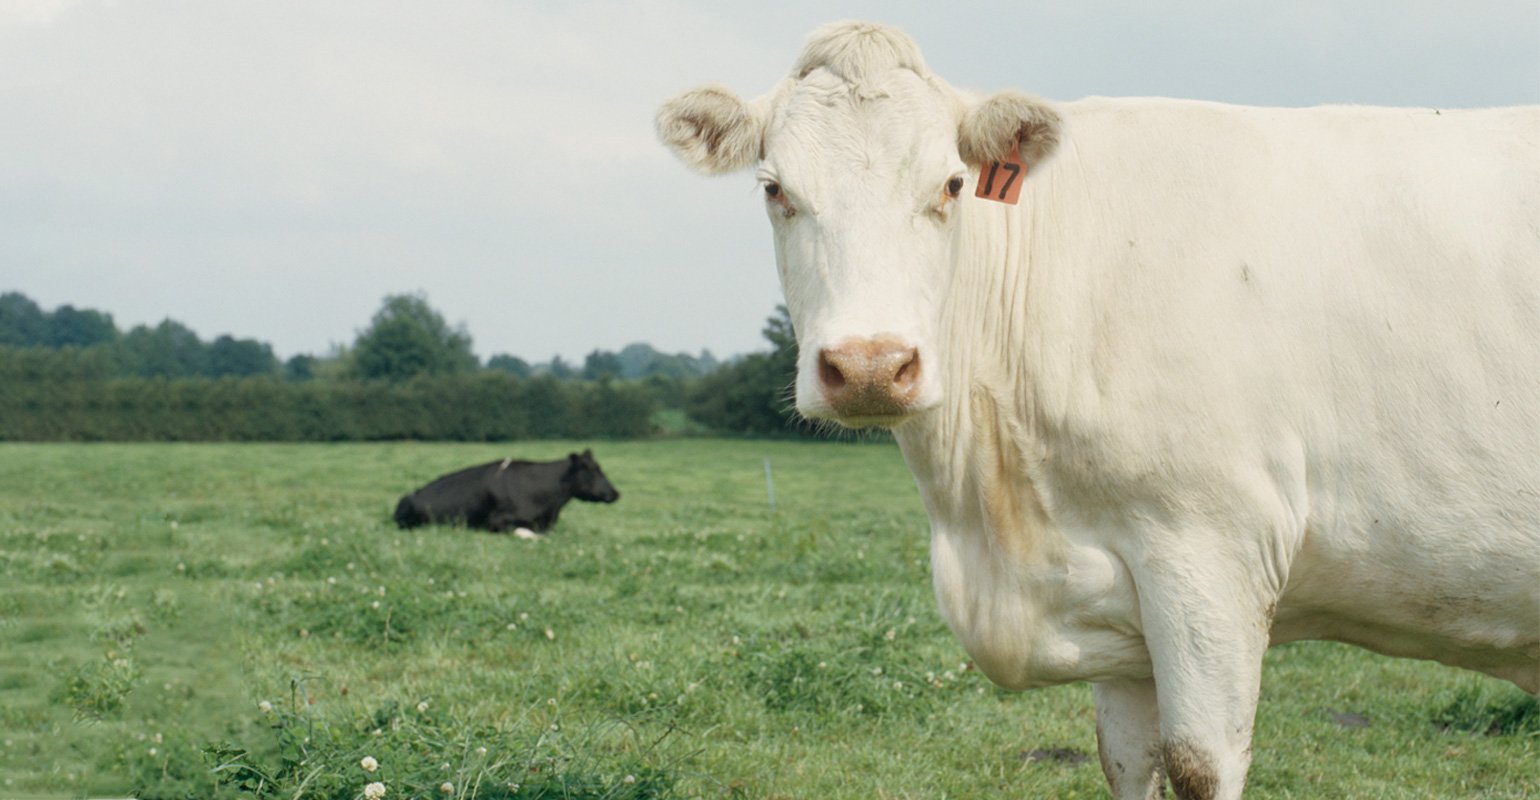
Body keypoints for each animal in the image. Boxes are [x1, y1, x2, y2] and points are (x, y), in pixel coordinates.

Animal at [391, 450, 619, 539]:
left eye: (599, 468)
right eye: (591, 470)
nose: (615, 493)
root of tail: (407, 496)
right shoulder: (496, 521)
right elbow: (526, 533)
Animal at [659, 20, 1540, 800]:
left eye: (950, 185)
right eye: (776, 190)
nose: (871, 365)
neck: (992, 516)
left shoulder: (1212, 553)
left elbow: (1199, 765)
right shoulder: (1124, 599)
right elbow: (1124, 761)